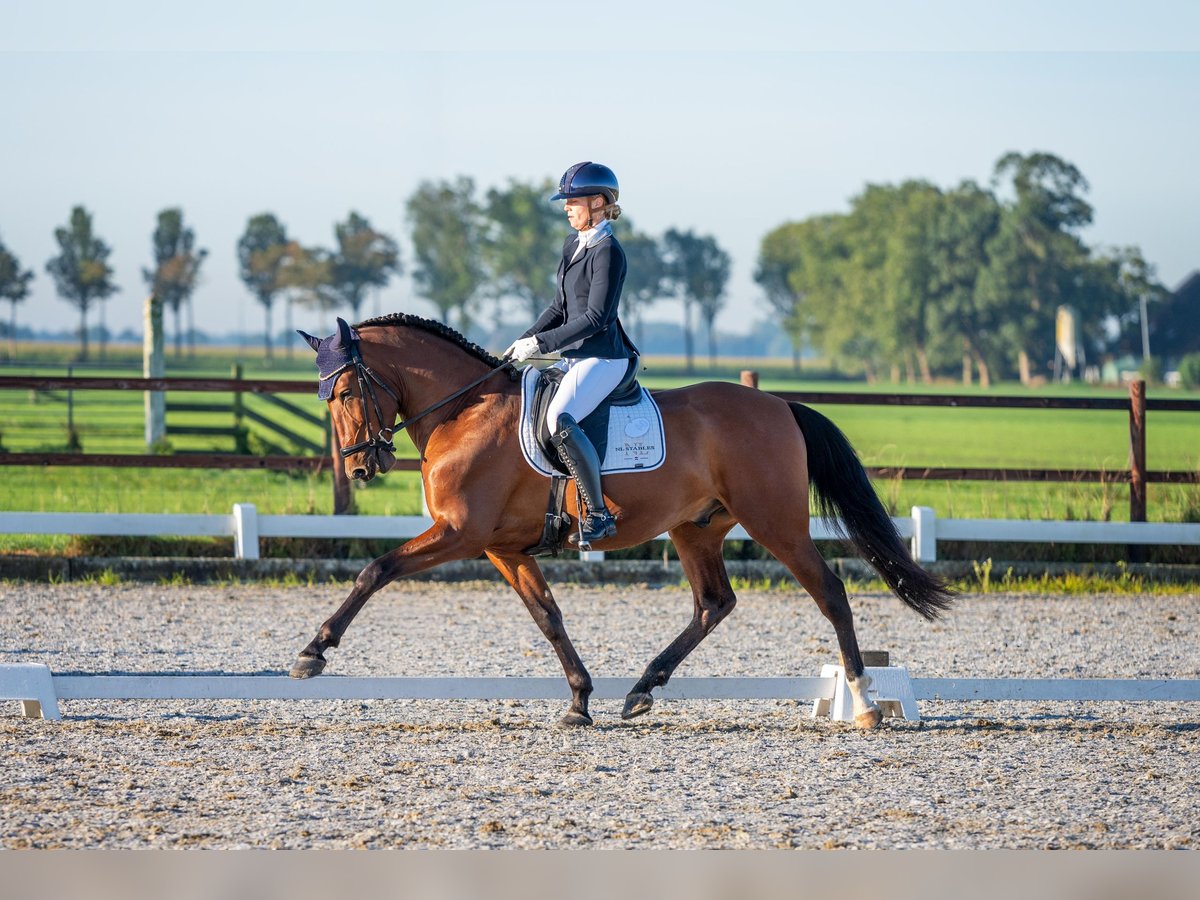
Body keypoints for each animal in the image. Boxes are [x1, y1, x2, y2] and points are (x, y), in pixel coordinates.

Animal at [292, 314, 955, 729]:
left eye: (346, 392)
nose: (363, 465)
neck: (465, 411)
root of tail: (778, 404)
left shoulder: (461, 535)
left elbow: (375, 570)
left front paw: (314, 651)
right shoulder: (505, 549)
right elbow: (548, 617)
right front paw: (580, 701)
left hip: (776, 523)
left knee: (830, 592)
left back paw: (865, 702)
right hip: (695, 528)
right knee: (714, 603)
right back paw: (641, 689)